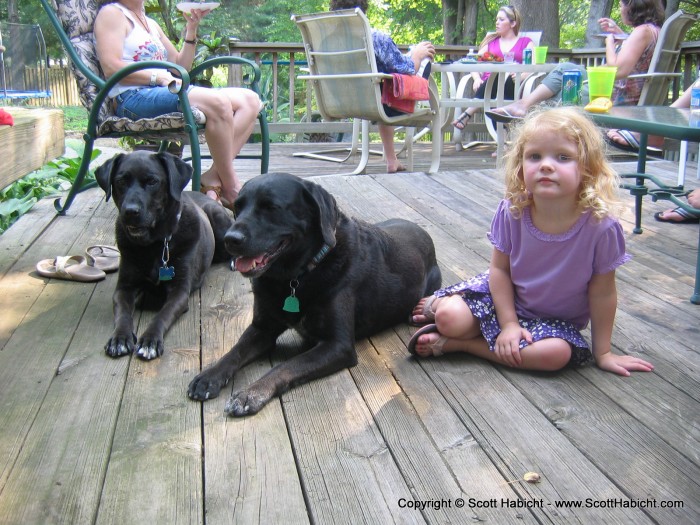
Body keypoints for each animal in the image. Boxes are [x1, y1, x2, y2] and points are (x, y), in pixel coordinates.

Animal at [95, 149, 232, 358]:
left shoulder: (179, 291)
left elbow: (162, 315)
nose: (130, 211)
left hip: (219, 222)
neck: (155, 244)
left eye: (152, 181)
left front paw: (150, 341)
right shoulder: (124, 288)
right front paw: (120, 338)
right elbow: (122, 313)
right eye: (121, 181)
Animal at [186, 174, 438, 416]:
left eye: (271, 207)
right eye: (237, 207)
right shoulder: (262, 327)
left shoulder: (337, 345)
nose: (230, 239)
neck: (295, 277)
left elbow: (287, 365)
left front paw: (251, 393)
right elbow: (235, 350)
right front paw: (209, 376)